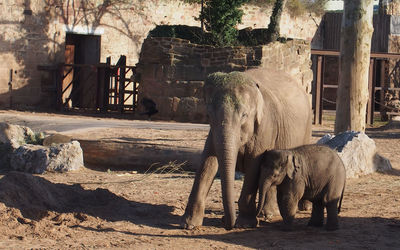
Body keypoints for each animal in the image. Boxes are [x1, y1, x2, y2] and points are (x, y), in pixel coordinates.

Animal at [183, 67, 310, 229]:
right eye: (209, 115)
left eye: (244, 115)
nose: (226, 223)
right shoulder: (213, 132)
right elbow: (207, 162)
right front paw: (189, 224)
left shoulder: (265, 127)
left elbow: (253, 166)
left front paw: (245, 223)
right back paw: (268, 214)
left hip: (306, 128)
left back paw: (302, 207)